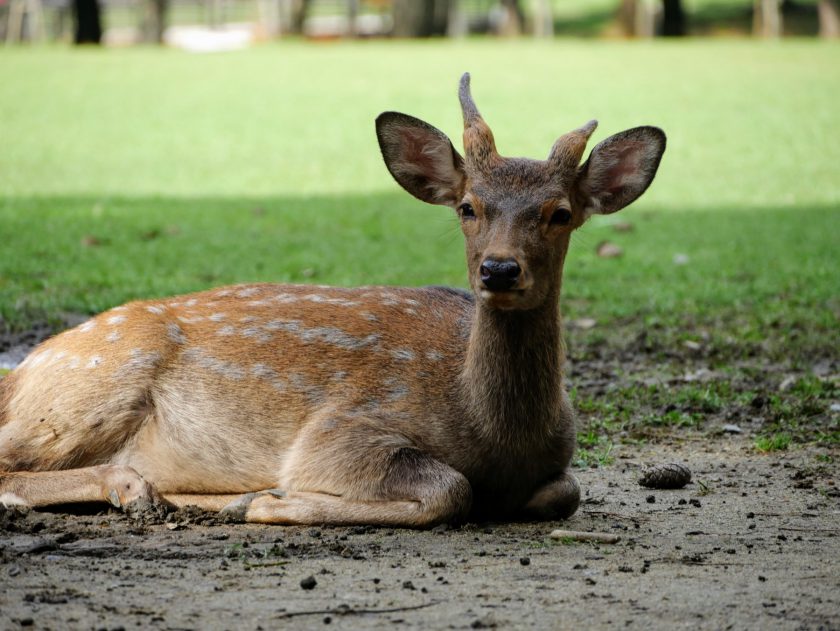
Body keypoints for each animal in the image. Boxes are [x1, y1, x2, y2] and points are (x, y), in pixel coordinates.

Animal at [0, 74, 668, 528]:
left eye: (561, 213)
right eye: (467, 207)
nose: (500, 269)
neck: (493, 433)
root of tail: (23, 370)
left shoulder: (556, 465)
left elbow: (565, 491)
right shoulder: (344, 427)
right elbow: (449, 490)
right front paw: (268, 501)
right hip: (88, 386)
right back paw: (140, 488)